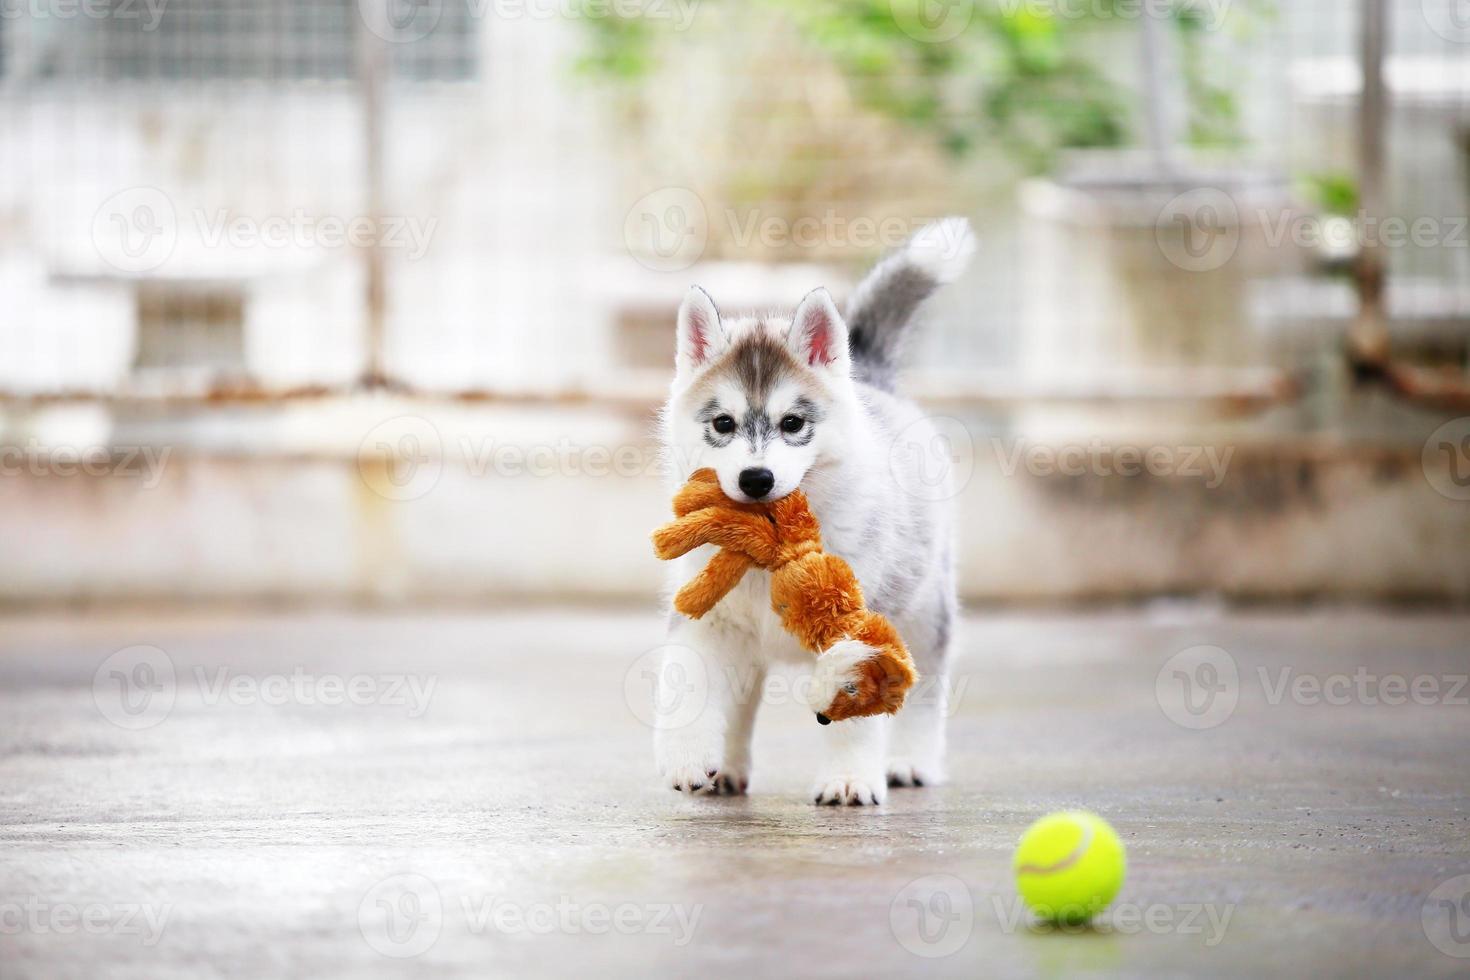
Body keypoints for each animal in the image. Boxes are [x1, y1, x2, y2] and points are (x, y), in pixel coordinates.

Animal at [658, 218, 976, 811]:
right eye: (722, 424)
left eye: (792, 423)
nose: (756, 479)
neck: (768, 556)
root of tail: (871, 377)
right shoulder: (707, 617)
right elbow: (688, 685)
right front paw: (687, 759)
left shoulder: (865, 626)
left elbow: (860, 706)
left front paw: (849, 779)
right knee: (740, 705)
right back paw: (728, 769)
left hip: (926, 608)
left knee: (927, 688)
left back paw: (910, 761)